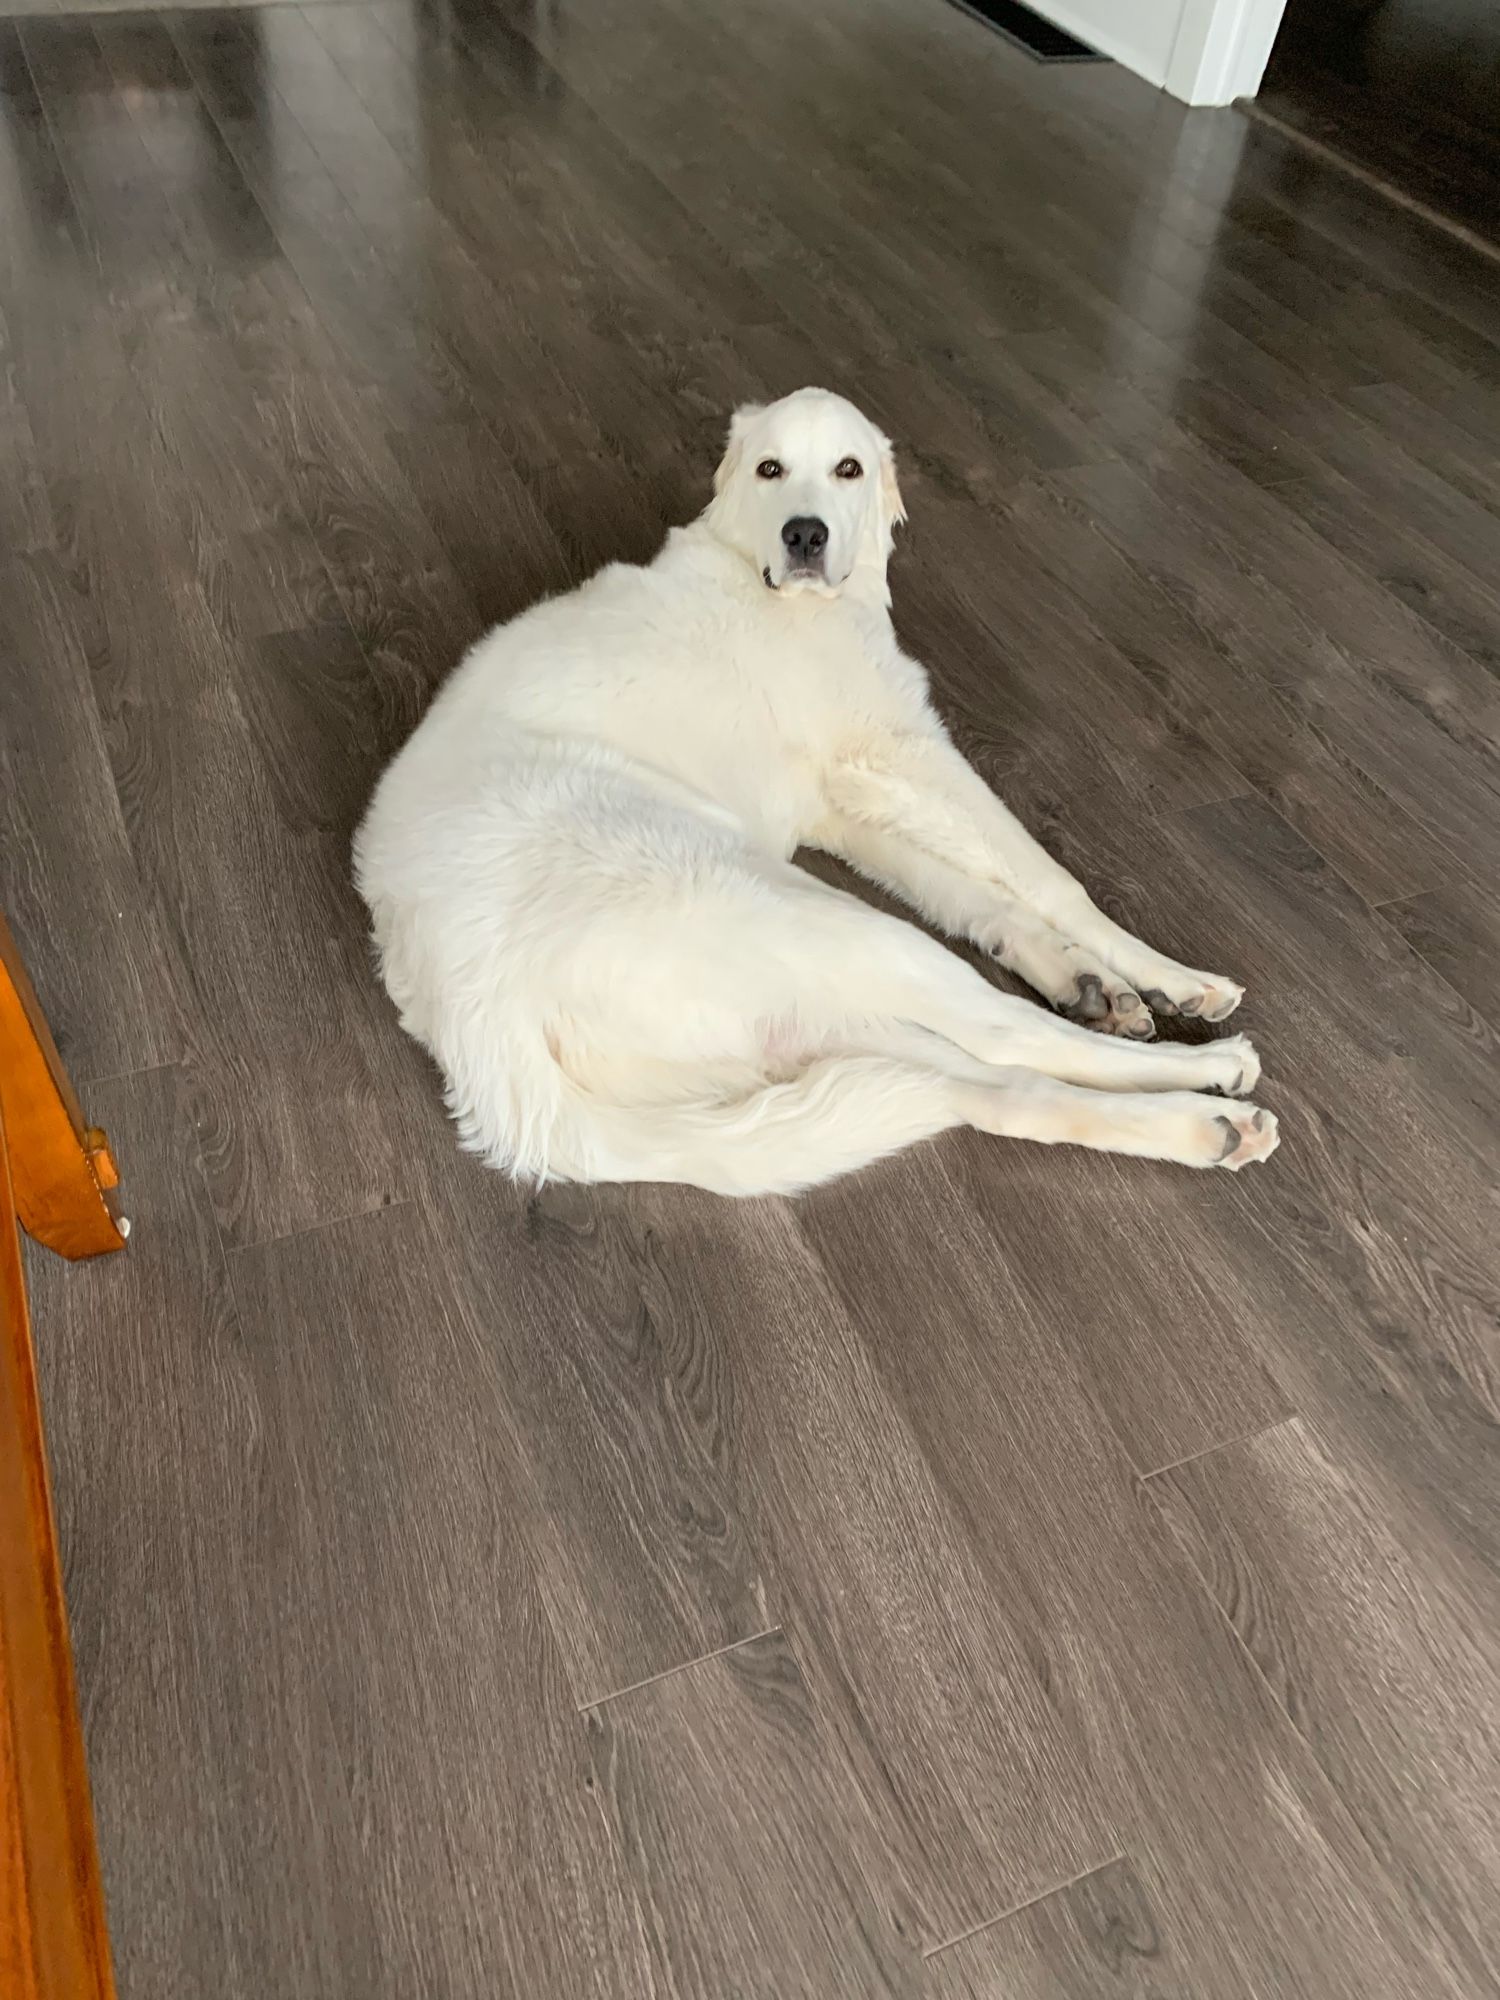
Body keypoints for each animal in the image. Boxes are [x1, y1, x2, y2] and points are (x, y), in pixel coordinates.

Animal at [356, 398, 1280, 1192]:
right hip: (834, 931)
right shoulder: (905, 745)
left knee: (1002, 1087)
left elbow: (978, 893)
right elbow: (1046, 877)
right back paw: (1211, 1070)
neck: (760, 572)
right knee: (1007, 1034)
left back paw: (1198, 1125)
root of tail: (477, 1027)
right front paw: (1168, 975)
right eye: (771, 468)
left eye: (847, 468)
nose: (806, 534)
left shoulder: (839, 804)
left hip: (813, 1012)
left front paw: (1099, 975)